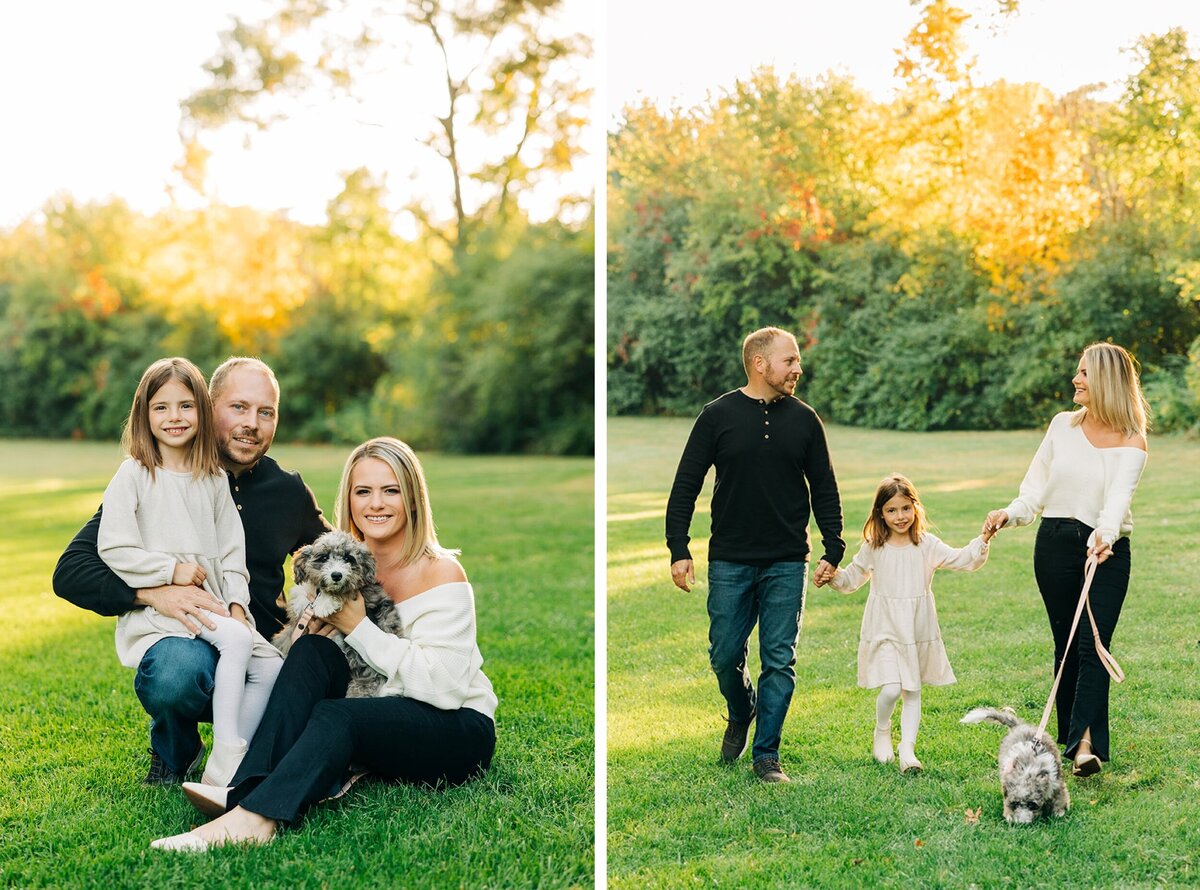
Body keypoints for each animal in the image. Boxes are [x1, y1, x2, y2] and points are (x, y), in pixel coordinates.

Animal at [272, 532, 403, 700]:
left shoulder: (365, 595)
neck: (318, 592)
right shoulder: (298, 620)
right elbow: (286, 637)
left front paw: (325, 603)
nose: (336, 575)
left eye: (348, 558)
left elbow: (347, 590)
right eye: (323, 557)